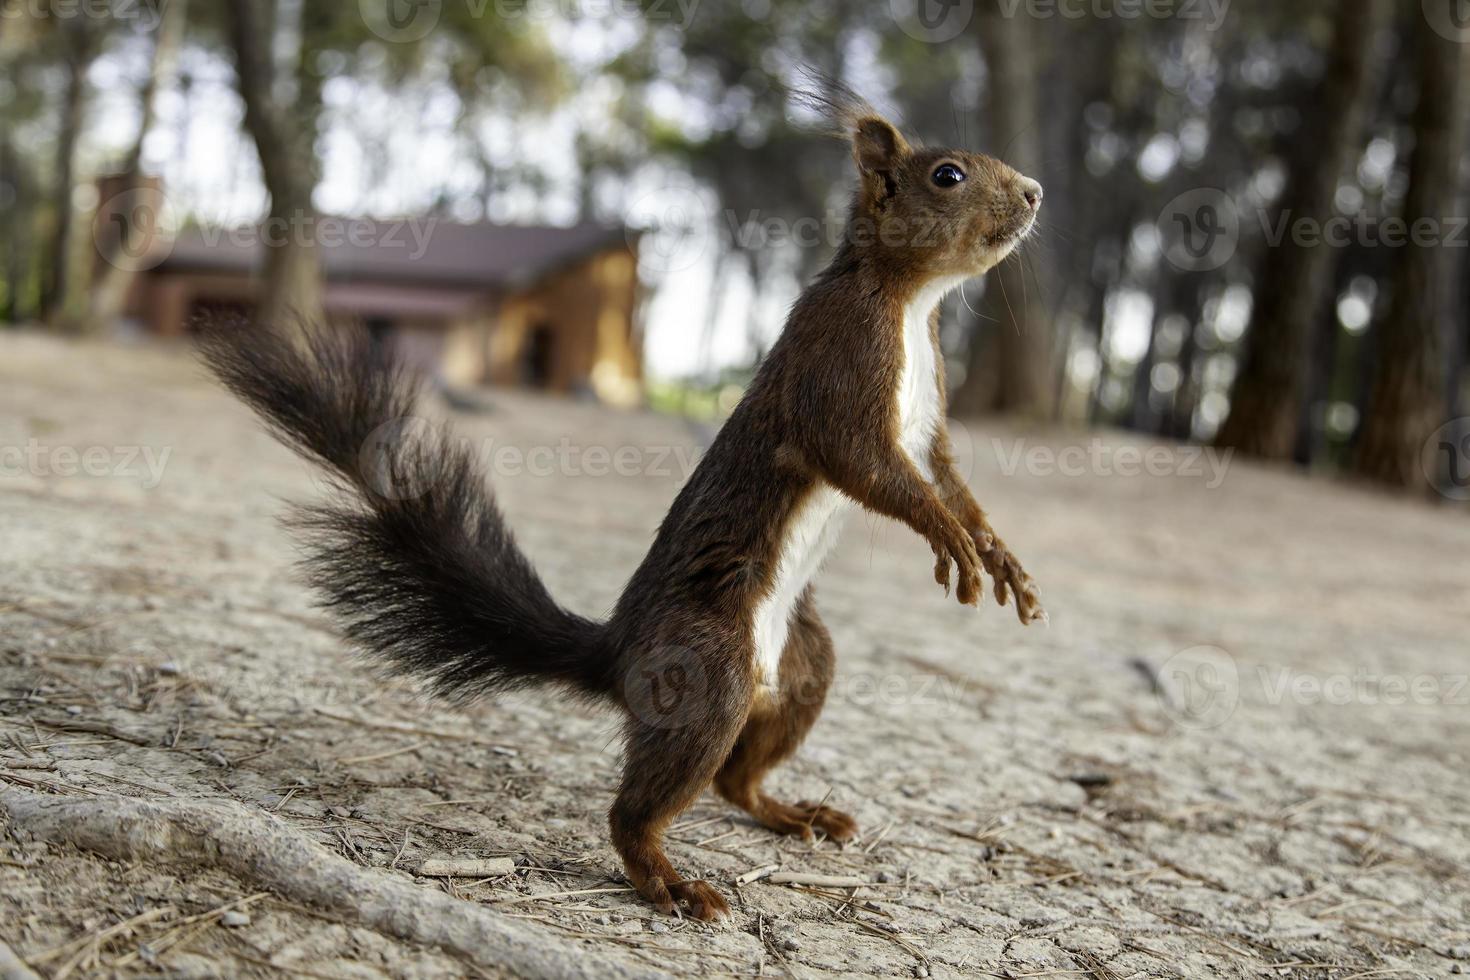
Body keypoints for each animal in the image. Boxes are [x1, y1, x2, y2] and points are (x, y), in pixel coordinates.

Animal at [201, 88, 1046, 922]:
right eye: (947, 175)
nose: (1036, 192)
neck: (911, 300)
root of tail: (616, 653)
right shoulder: (839, 365)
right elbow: (869, 467)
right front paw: (949, 540)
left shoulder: (928, 419)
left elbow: (947, 476)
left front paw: (999, 555)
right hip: (709, 667)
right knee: (641, 806)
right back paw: (670, 880)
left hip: (806, 666)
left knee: (736, 778)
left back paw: (792, 812)